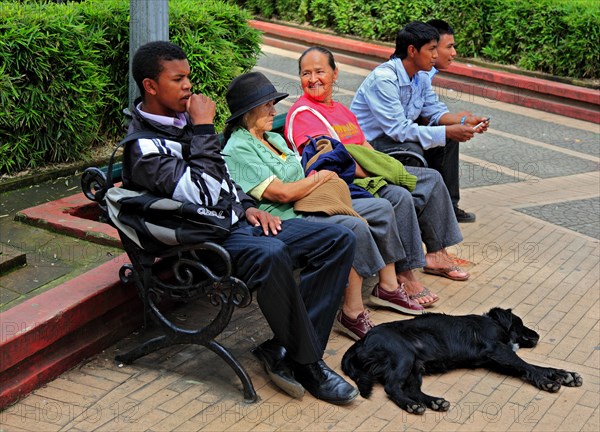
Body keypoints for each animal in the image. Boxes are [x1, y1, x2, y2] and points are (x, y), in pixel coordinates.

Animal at [342, 308, 580, 416]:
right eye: (520, 323)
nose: (537, 335)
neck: (492, 322)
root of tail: (362, 341)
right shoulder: (497, 350)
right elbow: (528, 366)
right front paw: (548, 381)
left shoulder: (496, 360)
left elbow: (533, 367)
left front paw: (564, 374)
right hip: (403, 356)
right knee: (392, 388)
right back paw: (412, 406)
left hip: (415, 365)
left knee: (412, 390)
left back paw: (435, 402)